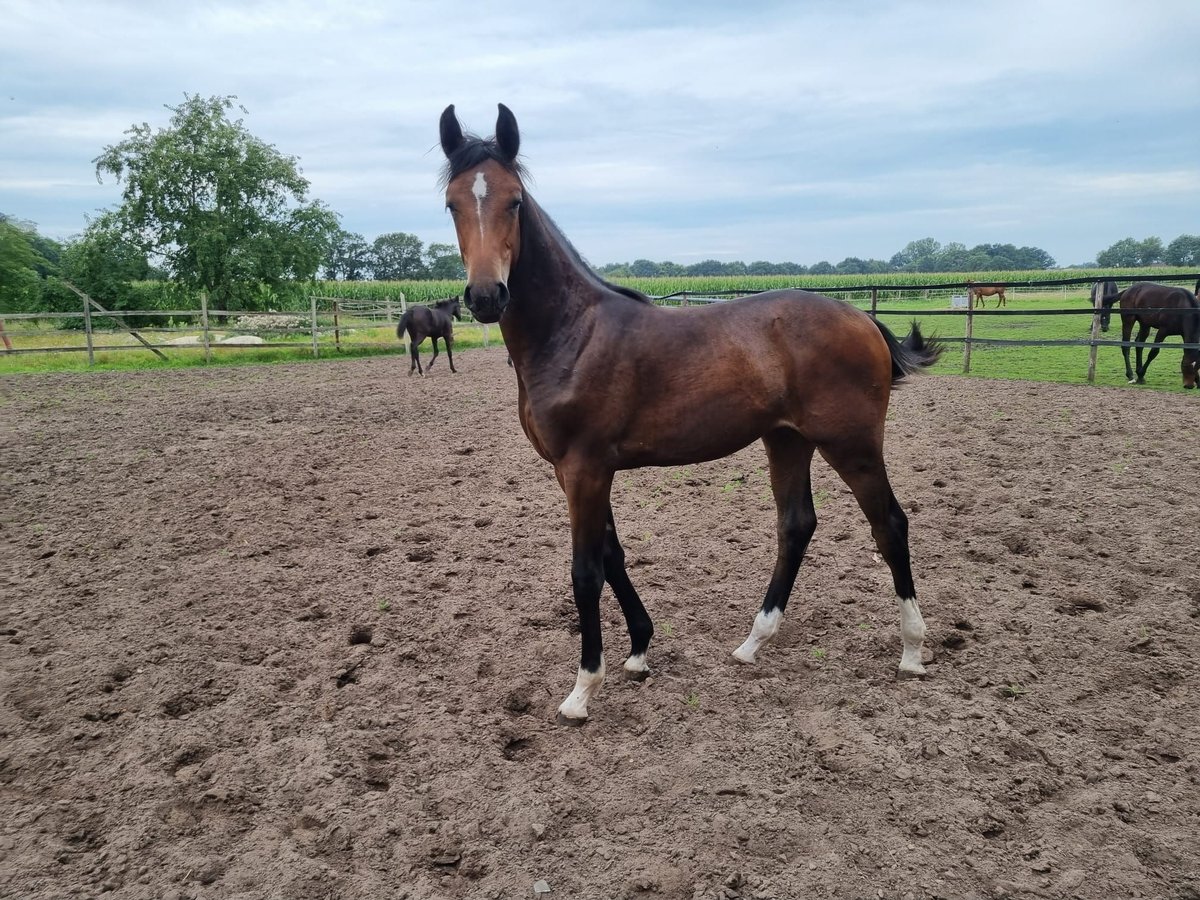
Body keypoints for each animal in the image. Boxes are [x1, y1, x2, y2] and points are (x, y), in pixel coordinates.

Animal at [441, 103, 945, 724]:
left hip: (851, 444)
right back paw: (754, 642)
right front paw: (639, 650)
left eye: (513, 200)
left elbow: (586, 571)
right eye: (452, 203)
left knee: (889, 525)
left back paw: (912, 650)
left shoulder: (584, 469)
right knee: (797, 524)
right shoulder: (579, 471)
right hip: (787, 440)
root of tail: (861, 317)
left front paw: (583, 689)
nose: (487, 296)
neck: (572, 332)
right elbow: (613, 555)